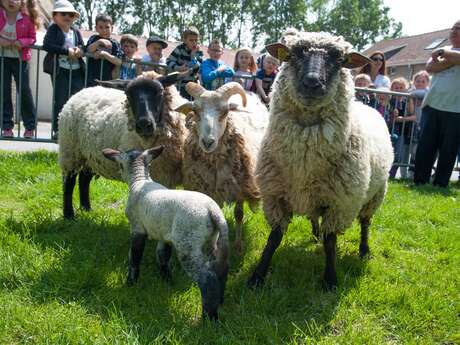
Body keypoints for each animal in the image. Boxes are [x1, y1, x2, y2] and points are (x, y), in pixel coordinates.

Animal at [58, 73, 187, 218]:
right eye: (128, 94)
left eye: (159, 92)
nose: (144, 124)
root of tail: (82, 91)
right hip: (70, 151)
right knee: (69, 182)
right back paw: (69, 214)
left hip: (90, 155)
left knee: (84, 180)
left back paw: (86, 209)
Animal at [102, 144, 228, 320]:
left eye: (120, 165)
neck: (140, 180)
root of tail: (213, 211)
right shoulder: (164, 235)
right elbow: (163, 256)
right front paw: (167, 281)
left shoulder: (137, 227)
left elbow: (134, 257)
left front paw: (130, 283)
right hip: (212, 241)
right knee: (220, 270)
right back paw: (219, 301)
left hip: (187, 244)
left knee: (207, 279)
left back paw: (209, 317)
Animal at [175, 82, 270, 251]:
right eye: (195, 110)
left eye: (225, 111)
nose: (207, 142)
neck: (214, 164)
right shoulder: (209, 188)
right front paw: (213, 245)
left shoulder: (240, 186)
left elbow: (238, 214)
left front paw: (238, 245)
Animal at [246, 32, 394, 288]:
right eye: (294, 54)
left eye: (339, 59)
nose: (312, 82)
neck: (304, 163)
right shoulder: (275, 197)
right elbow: (274, 238)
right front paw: (258, 276)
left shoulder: (339, 203)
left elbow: (331, 241)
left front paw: (330, 280)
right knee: (315, 216)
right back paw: (316, 233)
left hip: (376, 194)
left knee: (365, 223)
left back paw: (364, 250)